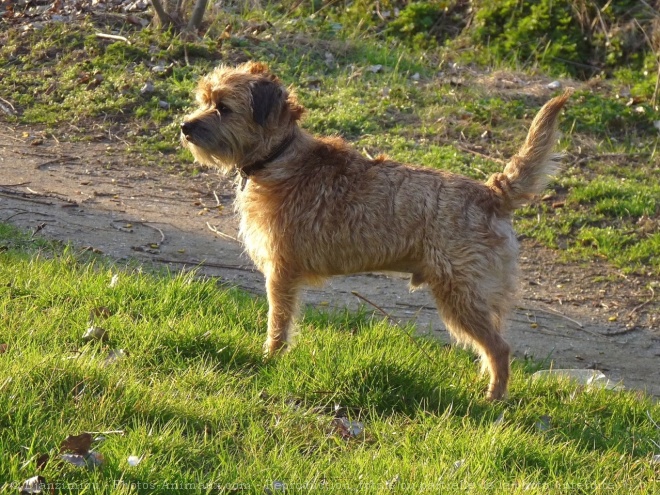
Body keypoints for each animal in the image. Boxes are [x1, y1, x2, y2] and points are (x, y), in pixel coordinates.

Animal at [179, 63, 568, 404]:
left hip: (461, 295)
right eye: (204, 99)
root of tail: (492, 193)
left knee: (499, 348)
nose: (184, 126)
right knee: (492, 346)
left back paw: (494, 398)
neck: (279, 157)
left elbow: (279, 323)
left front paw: (271, 358)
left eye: (223, 107)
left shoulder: (281, 274)